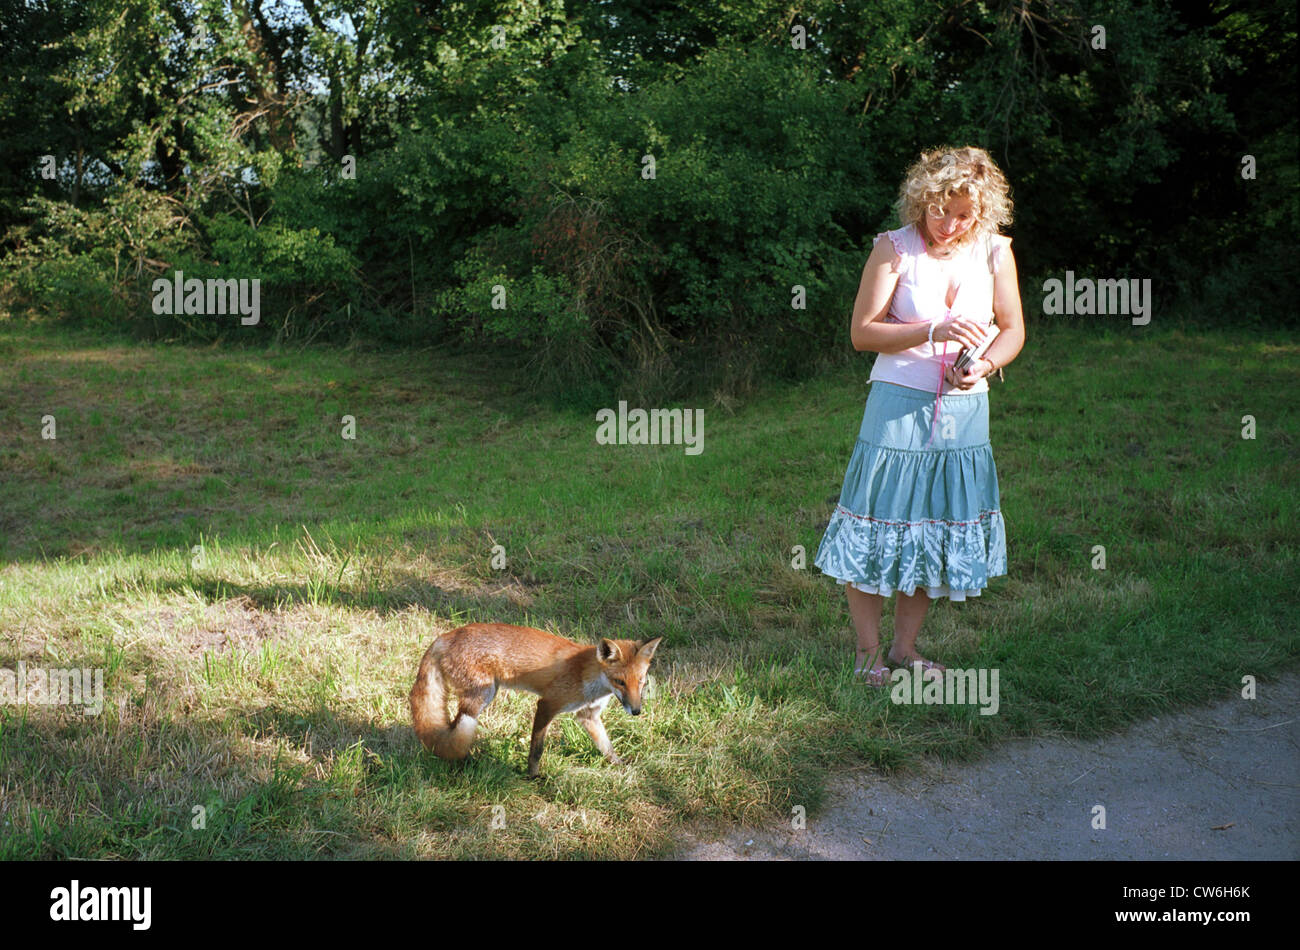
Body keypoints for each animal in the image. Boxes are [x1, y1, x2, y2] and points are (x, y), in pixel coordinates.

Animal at [410, 623, 665, 779]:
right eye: (620, 682)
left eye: (640, 681)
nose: (636, 711)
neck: (587, 677)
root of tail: (444, 637)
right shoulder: (547, 705)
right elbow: (537, 750)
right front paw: (533, 776)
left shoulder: (588, 715)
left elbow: (606, 745)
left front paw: (618, 764)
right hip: (481, 698)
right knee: (454, 729)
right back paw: (460, 762)